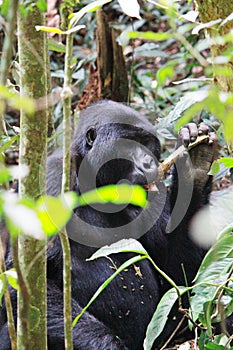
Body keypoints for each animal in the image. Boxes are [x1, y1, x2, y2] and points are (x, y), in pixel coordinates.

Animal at [0, 100, 218, 350]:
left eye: (148, 144)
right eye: (130, 143)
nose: (148, 162)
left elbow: (179, 279)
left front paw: (194, 168)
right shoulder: (51, 181)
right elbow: (27, 282)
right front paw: (108, 345)